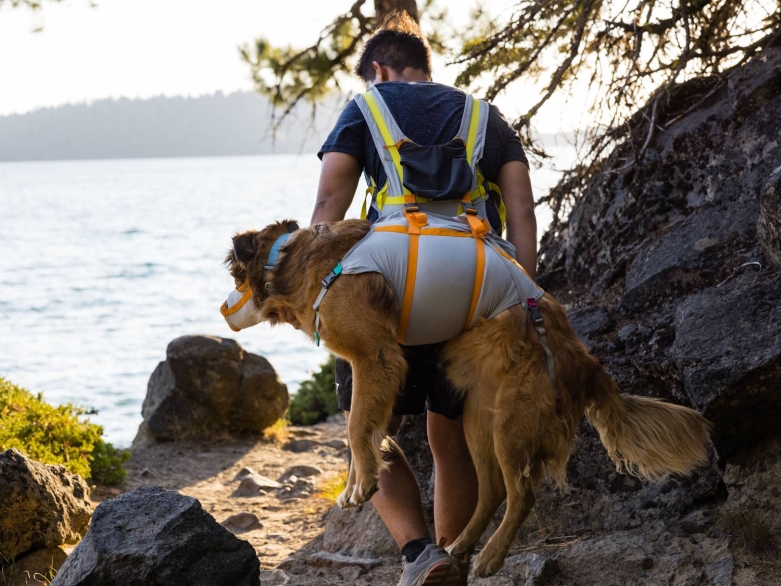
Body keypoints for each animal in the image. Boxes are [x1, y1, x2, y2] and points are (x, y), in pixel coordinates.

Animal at [222, 218, 708, 576]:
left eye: (234, 278)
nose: (222, 308)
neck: (293, 262)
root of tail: (583, 358)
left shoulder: (375, 357)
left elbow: (358, 426)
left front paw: (360, 482)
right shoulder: (381, 371)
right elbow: (368, 431)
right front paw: (364, 475)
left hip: (511, 423)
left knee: (521, 494)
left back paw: (490, 556)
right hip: (478, 415)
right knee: (491, 490)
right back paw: (460, 546)